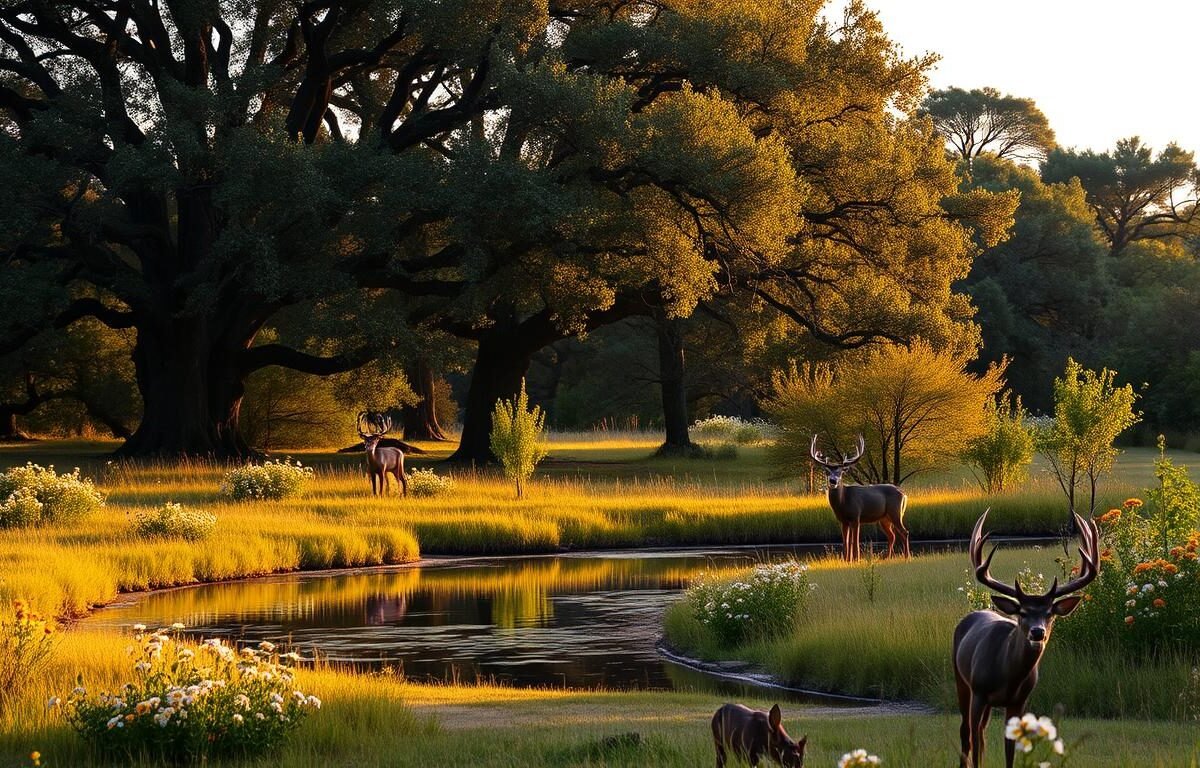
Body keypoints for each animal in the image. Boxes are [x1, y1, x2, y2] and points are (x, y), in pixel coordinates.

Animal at [953, 508, 1099, 768]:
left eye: (1049, 613)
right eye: (1022, 612)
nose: (1037, 631)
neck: (1007, 676)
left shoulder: (1019, 701)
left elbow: (1010, 748)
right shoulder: (979, 691)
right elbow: (973, 738)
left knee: (980, 731)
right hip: (961, 679)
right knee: (967, 732)